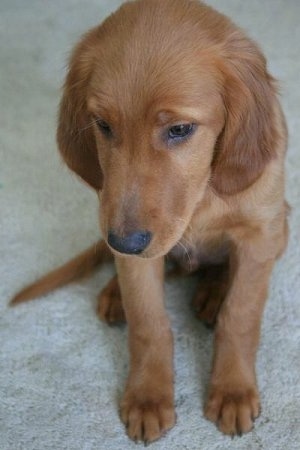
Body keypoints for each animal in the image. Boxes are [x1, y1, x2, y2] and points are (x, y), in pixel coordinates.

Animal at [11, 0, 288, 442]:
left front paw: (232, 390)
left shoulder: (260, 234)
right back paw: (115, 294)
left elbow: (241, 315)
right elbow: (148, 321)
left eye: (180, 129)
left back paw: (213, 293)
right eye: (103, 125)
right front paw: (148, 397)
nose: (124, 244)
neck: (200, 196)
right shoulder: (127, 235)